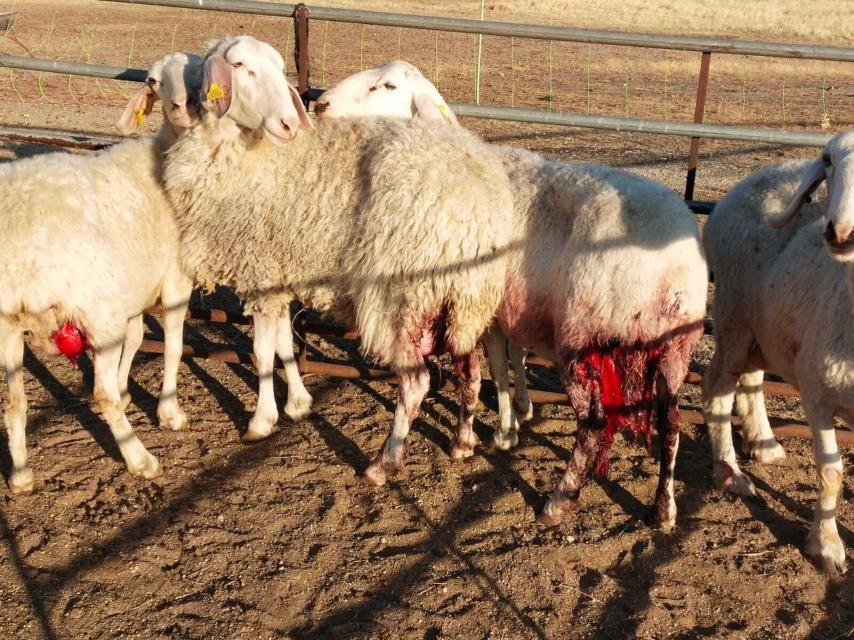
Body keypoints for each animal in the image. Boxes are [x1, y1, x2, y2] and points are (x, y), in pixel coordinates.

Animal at [0, 53, 202, 496]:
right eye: (154, 81)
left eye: (200, 73)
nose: (182, 106)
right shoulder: (174, 281)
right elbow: (173, 345)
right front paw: (170, 413)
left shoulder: (132, 292)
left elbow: (138, 336)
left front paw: (129, 391)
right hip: (96, 312)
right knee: (100, 395)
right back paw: (140, 459)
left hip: (8, 326)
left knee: (14, 402)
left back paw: (21, 476)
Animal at [314, 61, 708, 528]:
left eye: (388, 85)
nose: (319, 104)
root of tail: (674, 267)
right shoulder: (507, 310)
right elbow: (509, 364)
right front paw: (516, 417)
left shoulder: (479, 308)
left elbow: (487, 371)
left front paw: (492, 434)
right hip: (673, 349)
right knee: (671, 424)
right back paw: (664, 509)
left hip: (582, 337)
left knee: (594, 424)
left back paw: (560, 499)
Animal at [704, 131, 854, 576]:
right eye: (829, 161)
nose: (840, 233)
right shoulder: (817, 392)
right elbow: (831, 471)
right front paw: (827, 547)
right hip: (734, 313)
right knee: (717, 388)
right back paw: (730, 472)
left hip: (764, 327)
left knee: (751, 380)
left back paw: (764, 441)